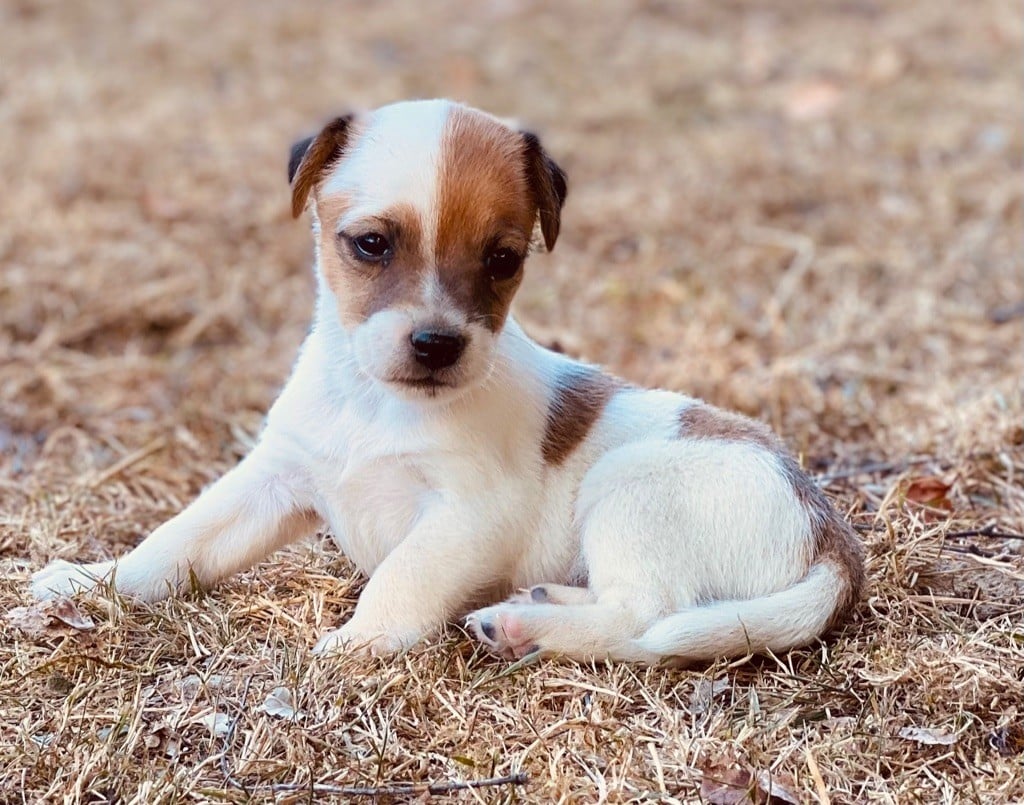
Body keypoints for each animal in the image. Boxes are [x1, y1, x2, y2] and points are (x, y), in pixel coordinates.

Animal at [29, 97, 864, 663]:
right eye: (371, 244)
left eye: (504, 258)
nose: (436, 343)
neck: (377, 405)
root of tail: (830, 537)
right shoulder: (272, 480)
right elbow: (170, 544)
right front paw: (90, 581)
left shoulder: (465, 514)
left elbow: (400, 578)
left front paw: (359, 642)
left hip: (629, 489)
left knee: (642, 619)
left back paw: (526, 624)